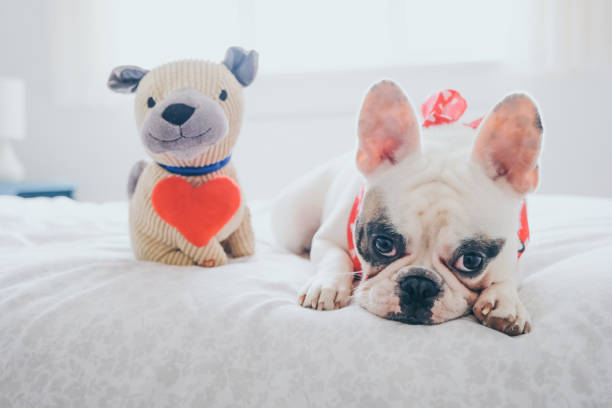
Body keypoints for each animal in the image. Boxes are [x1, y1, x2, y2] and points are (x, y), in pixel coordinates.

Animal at [270, 79, 544, 334]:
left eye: (471, 261)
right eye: (383, 244)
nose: (419, 285)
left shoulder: (514, 253)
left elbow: (508, 276)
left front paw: (505, 302)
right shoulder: (327, 238)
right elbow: (334, 257)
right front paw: (326, 286)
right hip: (294, 223)